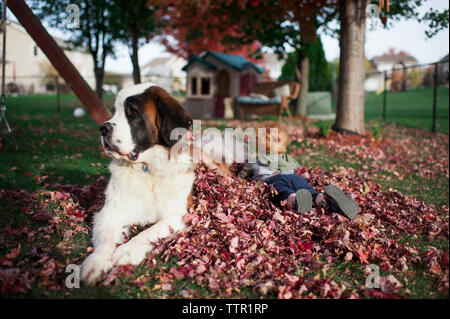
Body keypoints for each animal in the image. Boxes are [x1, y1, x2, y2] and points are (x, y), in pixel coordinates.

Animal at [80, 82, 229, 284]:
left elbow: (152, 230)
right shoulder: (109, 212)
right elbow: (106, 237)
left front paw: (127, 250)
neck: (149, 169)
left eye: (132, 112)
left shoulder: (182, 215)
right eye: (114, 111)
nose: (103, 128)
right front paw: (96, 262)